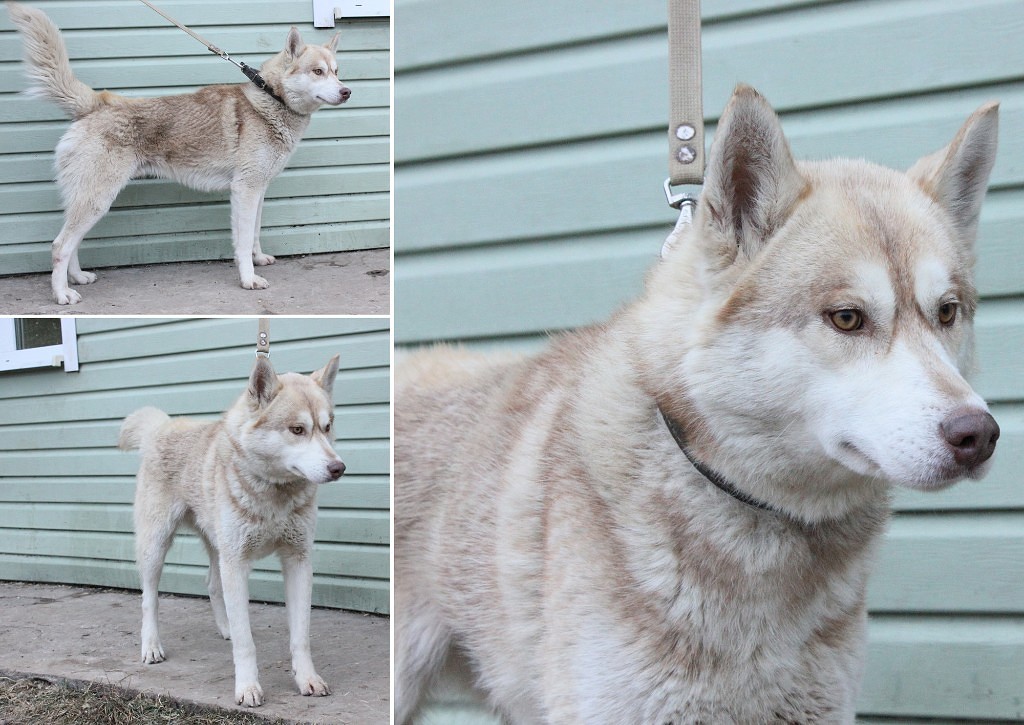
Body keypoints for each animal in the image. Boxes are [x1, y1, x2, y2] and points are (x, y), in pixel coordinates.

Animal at [6, 1, 352, 305]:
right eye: (317, 72)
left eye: (336, 72)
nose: (347, 91)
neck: (272, 100)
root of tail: (98, 102)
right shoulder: (245, 190)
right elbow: (241, 243)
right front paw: (248, 279)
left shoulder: (259, 190)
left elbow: (253, 234)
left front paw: (259, 259)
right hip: (97, 199)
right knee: (59, 246)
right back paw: (62, 294)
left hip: (90, 201)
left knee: (71, 242)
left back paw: (76, 278)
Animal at [118, 356, 346, 708]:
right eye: (297, 429)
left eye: (327, 426)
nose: (339, 468)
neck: (273, 495)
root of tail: (164, 426)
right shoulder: (237, 562)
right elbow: (245, 641)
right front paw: (248, 687)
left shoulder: (297, 560)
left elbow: (300, 637)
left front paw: (307, 678)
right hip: (157, 546)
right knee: (149, 600)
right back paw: (152, 646)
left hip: (217, 547)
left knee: (212, 584)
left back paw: (224, 627)